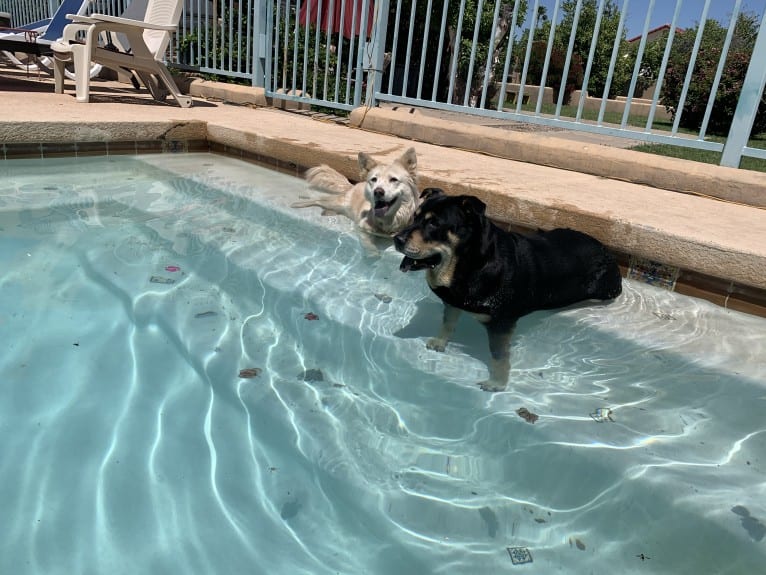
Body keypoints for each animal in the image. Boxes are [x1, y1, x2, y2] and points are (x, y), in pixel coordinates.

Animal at [396, 189, 624, 392]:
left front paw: (497, 383)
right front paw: (440, 341)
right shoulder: (453, 301)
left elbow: (498, 356)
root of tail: (606, 250)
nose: (397, 239)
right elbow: (448, 322)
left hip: (605, 290)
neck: (471, 263)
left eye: (434, 223)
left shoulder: (501, 324)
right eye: (415, 217)